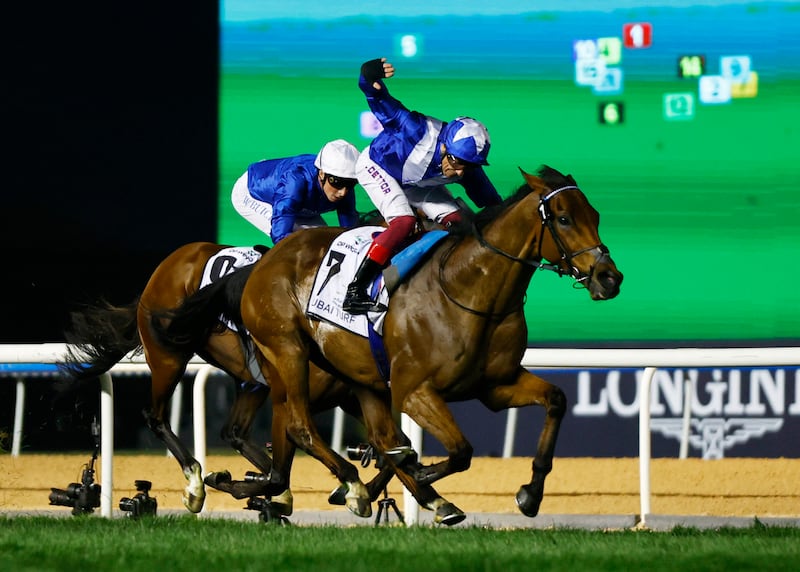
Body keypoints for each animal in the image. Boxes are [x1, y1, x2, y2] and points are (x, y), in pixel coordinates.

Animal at [55, 241, 394, 520]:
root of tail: (169, 264)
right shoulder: (292, 395)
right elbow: (293, 456)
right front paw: (352, 488)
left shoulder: (348, 397)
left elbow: (390, 449)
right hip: (168, 356)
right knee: (156, 416)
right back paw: (195, 483)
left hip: (249, 381)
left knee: (234, 432)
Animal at [238, 165, 624, 524]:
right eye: (564, 218)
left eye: (595, 215)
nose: (610, 278)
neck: (467, 289)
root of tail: (271, 254)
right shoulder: (415, 390)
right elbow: (460, 450)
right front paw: (418, 471)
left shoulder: (496, 386)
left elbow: (556, 400)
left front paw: (531, 493)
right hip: (290, 352)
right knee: (298, 425)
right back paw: (348, 485)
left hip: (358, 375)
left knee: (377, 434)